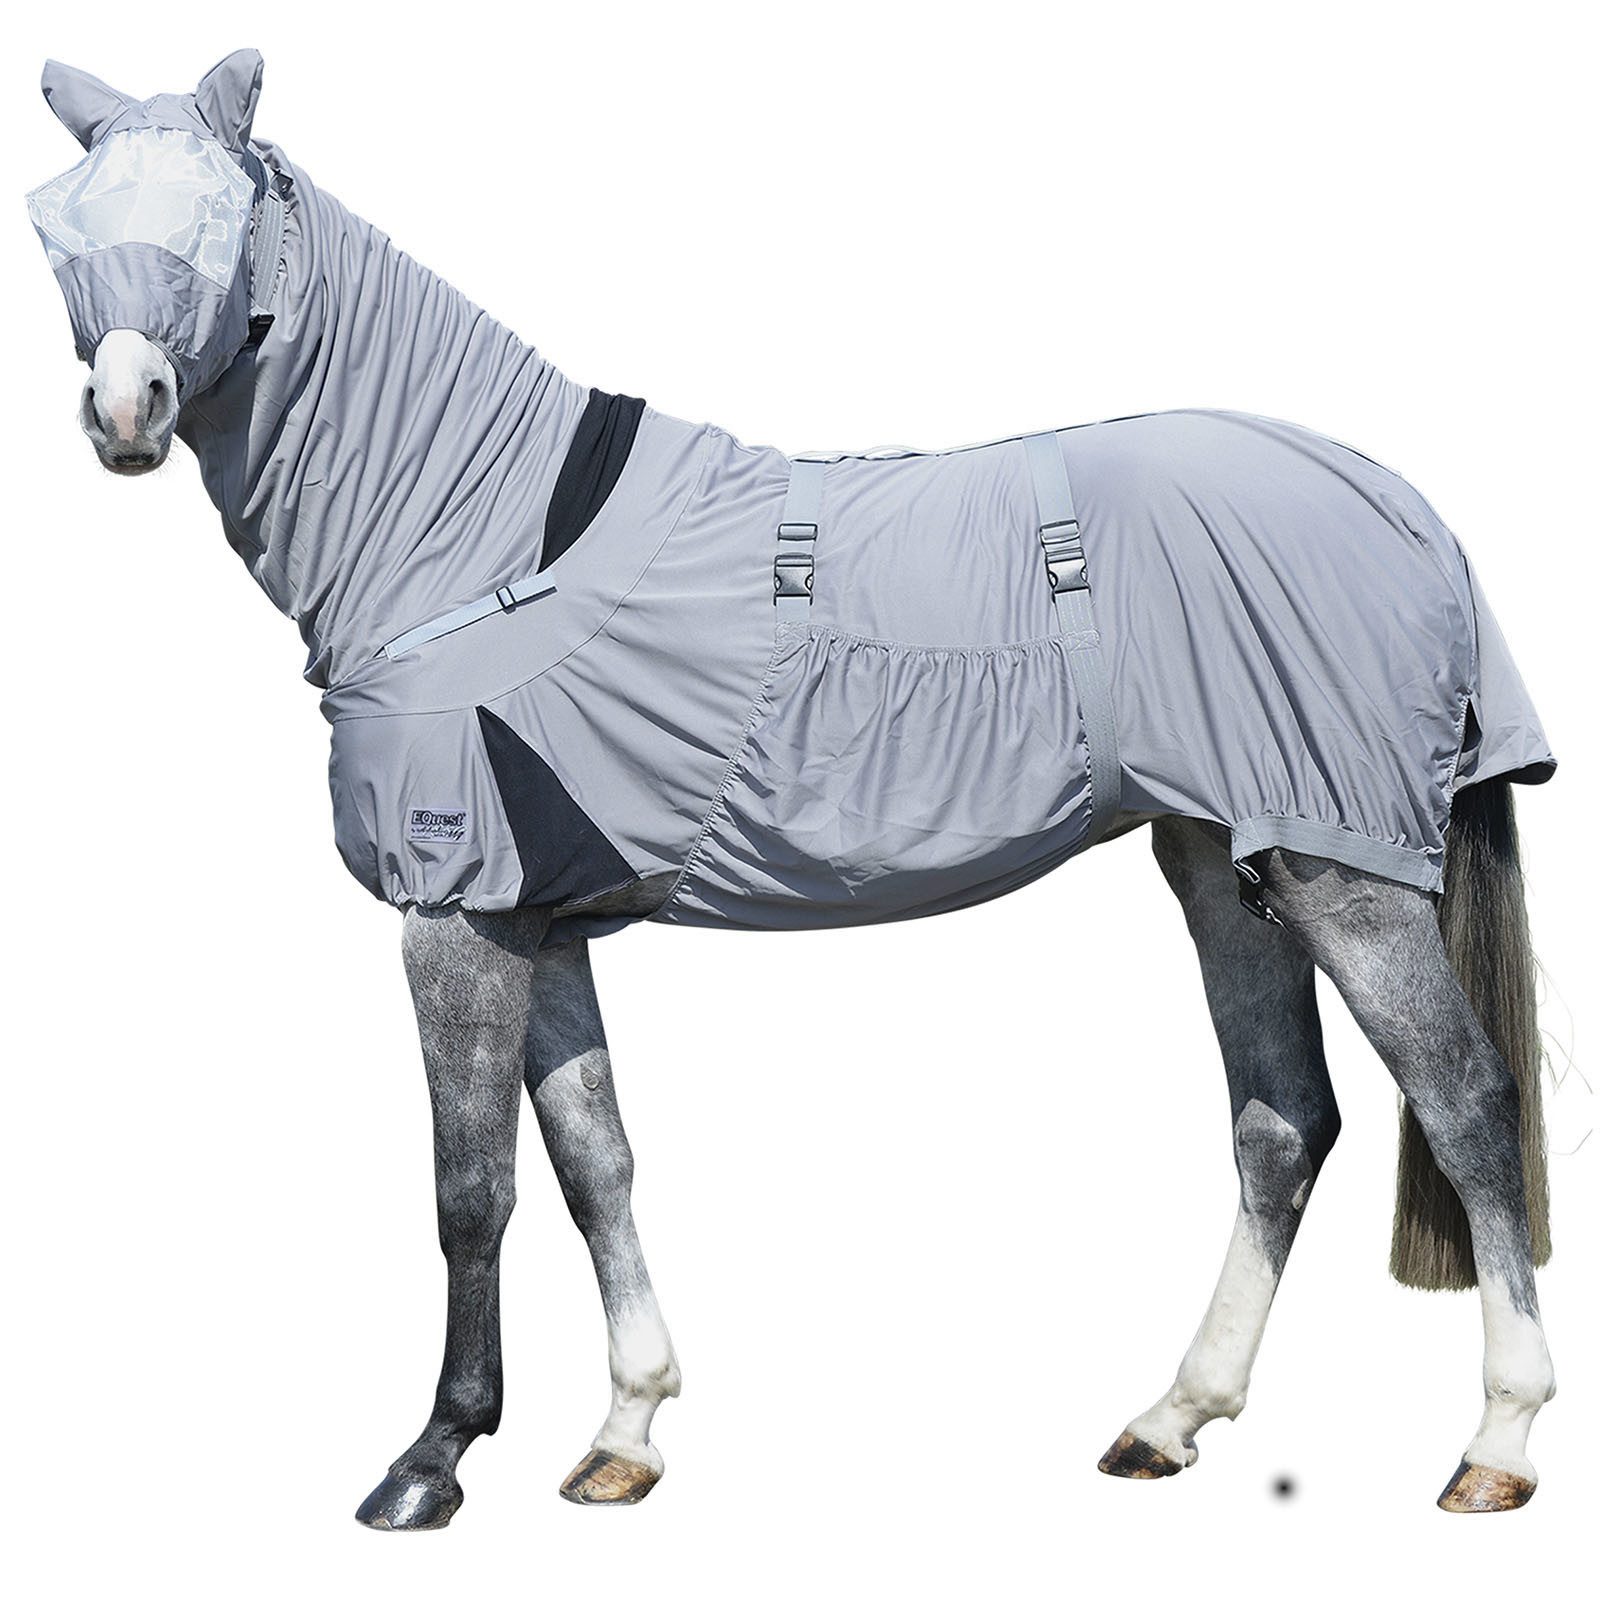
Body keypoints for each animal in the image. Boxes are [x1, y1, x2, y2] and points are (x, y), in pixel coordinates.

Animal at [27, 49, 1557, 1526]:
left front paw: (434, 1459)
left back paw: (1497, 1443)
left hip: (1338, 867)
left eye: (219, 220)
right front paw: (624, 1433)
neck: (484, 537)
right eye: (60, 227)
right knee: (1283, 1121)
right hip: (1219, 859)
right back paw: (1170, 1420)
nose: (123, 411)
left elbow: (473, 1188)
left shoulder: (455, 916)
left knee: (1467, 1102)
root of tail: (1405, 506)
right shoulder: (538, 922)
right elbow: (593, 1164)